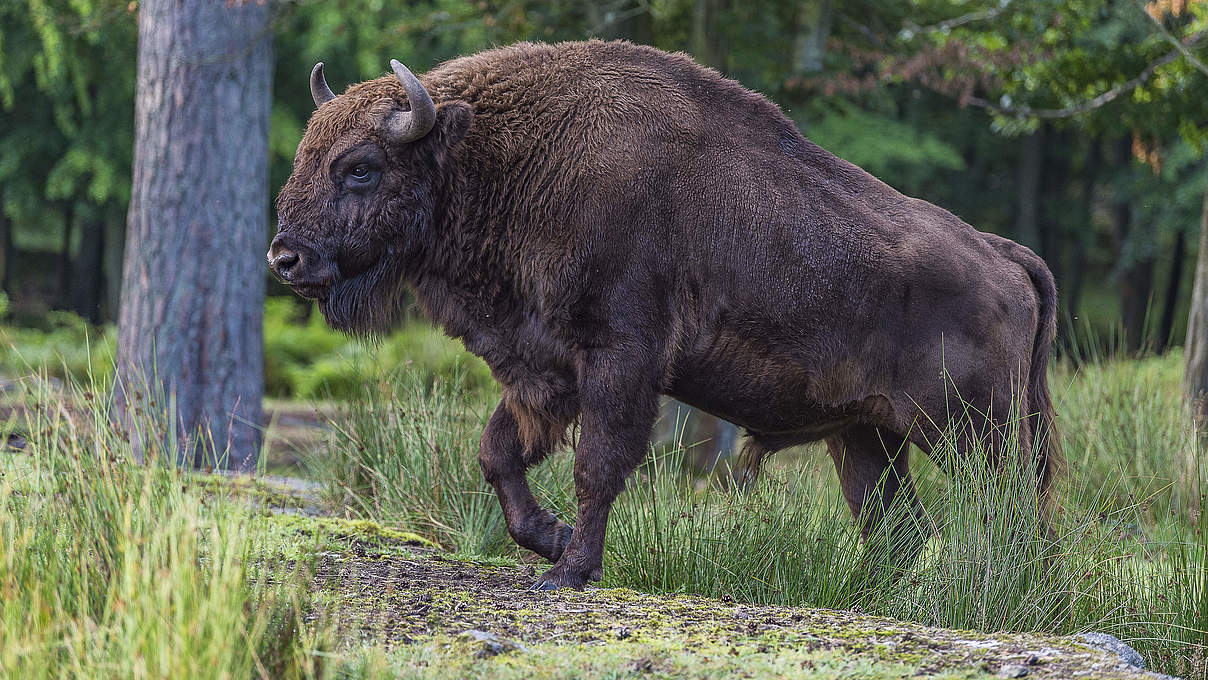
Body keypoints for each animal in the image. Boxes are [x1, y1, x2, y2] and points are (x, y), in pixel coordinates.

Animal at [271, 39, 1058, 591]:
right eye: (306, 152)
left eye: (361, 167)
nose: (286, 258)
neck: (501, 157)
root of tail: (1000, 255)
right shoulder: (543, 368)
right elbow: (498, 453)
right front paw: (551, 541)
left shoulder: (618, 361)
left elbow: (598, 464)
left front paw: (570, 570)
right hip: (866, 435)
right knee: (895, 524)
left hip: (972, 431)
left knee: (1010, 509)